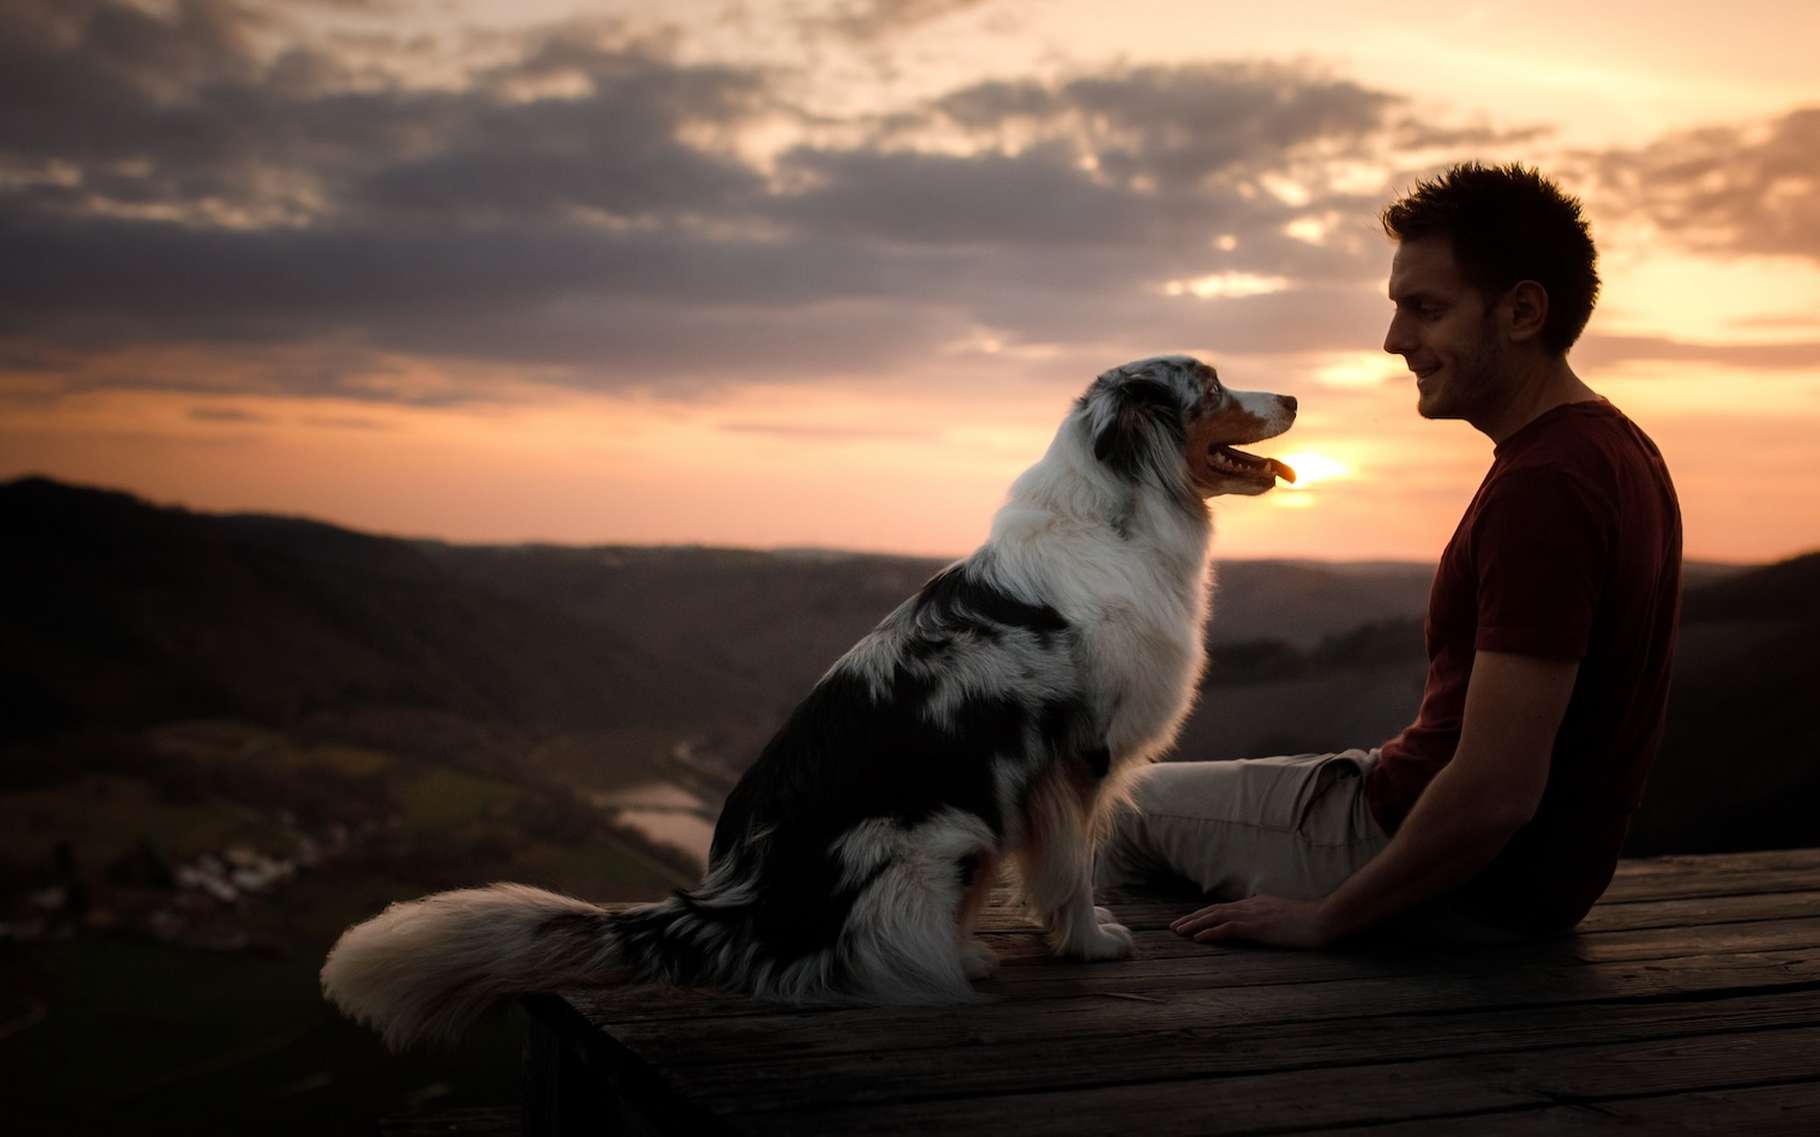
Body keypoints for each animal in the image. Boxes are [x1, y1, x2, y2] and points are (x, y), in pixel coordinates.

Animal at [320, 354, 1303, 1047]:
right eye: (1210, 381)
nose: (1295, 395)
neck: (1117, 513)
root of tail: (731, 905)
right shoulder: (1075, 758)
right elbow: (1070, 867)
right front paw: (1091, 941)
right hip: (939, 830)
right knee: (874, 952)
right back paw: (953, 961)